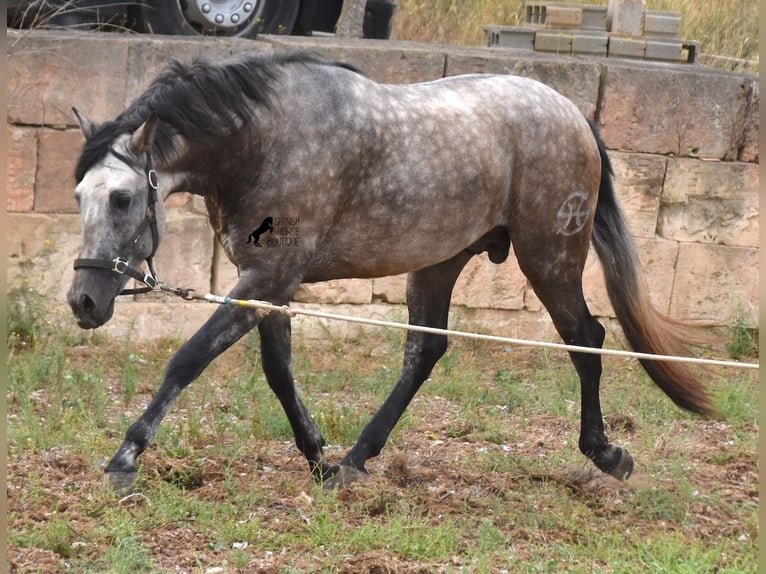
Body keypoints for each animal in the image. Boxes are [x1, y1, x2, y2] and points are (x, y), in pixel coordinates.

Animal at [67, 53, 712, 490]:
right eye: (79, 196)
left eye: (122, 197)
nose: (83, 302)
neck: (263, 140)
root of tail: (575, 114)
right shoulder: (272, 283)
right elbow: (279, 372)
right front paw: (318, 457)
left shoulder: (269, 277)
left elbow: (190, 358)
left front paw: (125, 458)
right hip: (439, 264)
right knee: (424, 352)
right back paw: (356, 459)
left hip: (549, 257)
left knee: (586, 339)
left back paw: (606, 453)